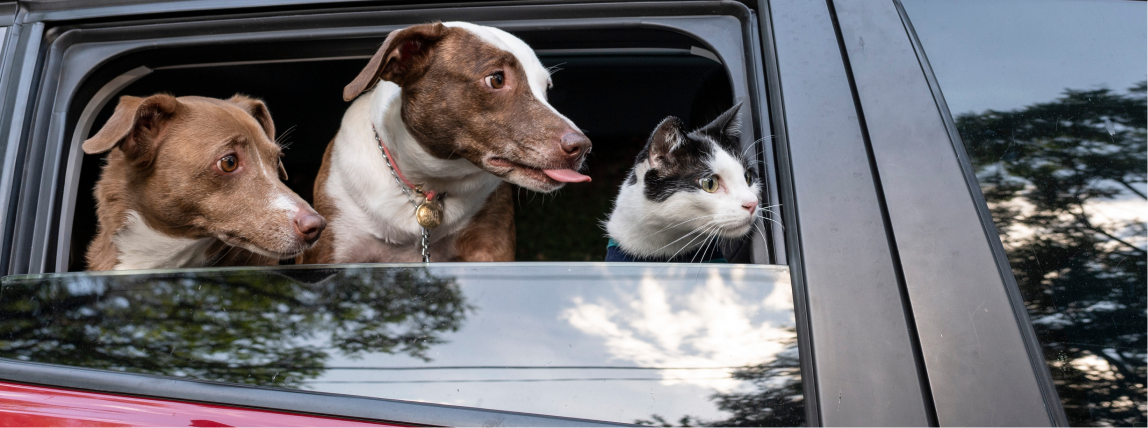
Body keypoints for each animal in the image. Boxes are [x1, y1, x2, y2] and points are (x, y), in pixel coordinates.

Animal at [300, 23, 592, 263]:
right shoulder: (333, 249)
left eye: (547, 87)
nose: (583, 146)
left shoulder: (490, 247)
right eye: (497, 79)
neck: (428, 184)